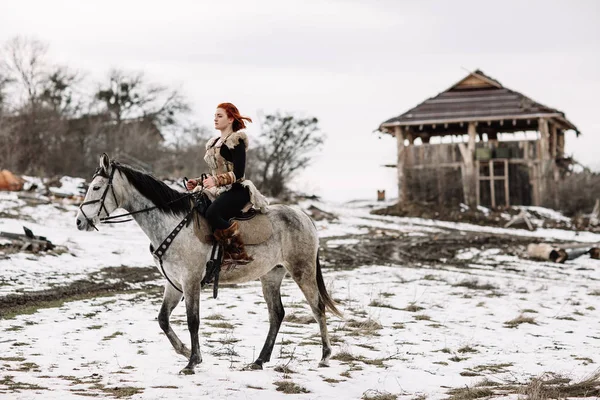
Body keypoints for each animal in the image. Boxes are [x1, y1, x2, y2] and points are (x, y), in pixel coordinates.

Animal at [74, 155, 342, 374]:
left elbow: (193, 320)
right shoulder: (174, 283)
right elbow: (163, 319)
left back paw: (325, 356)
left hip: (302, 270)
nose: (79, 221)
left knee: (318, 307)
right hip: (271, 276)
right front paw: (184, 351)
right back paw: (259, 361)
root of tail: (304, 216)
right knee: (277, 314)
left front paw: (192, 362)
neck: (172, 225)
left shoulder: (191, 280)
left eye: (96, 187)